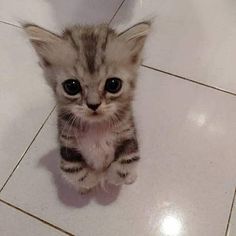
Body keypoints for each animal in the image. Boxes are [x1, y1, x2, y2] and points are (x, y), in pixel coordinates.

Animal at [23, 21, 149, 193]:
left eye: (113, 84)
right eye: (71, 86)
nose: (93, 104)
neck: (96, 128)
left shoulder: (128, 134)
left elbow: (127, 161)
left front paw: (111, 178)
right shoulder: (67, 146)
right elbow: (74, 171)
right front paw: (92, 181)